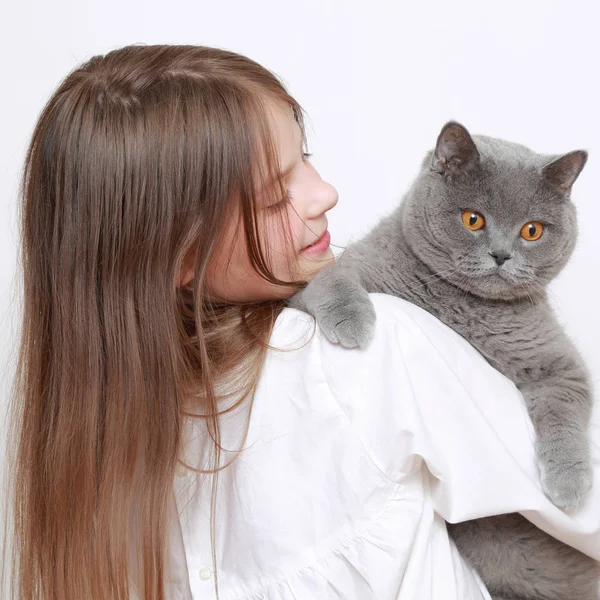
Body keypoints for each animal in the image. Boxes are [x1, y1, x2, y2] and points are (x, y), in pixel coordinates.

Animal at [288, 123, 600, 600]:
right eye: (473, 219)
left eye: (532, 231)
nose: (501, 254)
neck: (462, 309)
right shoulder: (338, 276)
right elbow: (331, 278)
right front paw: (353, 322)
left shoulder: (560, 365)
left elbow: (566, 412)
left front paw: (568, 483)